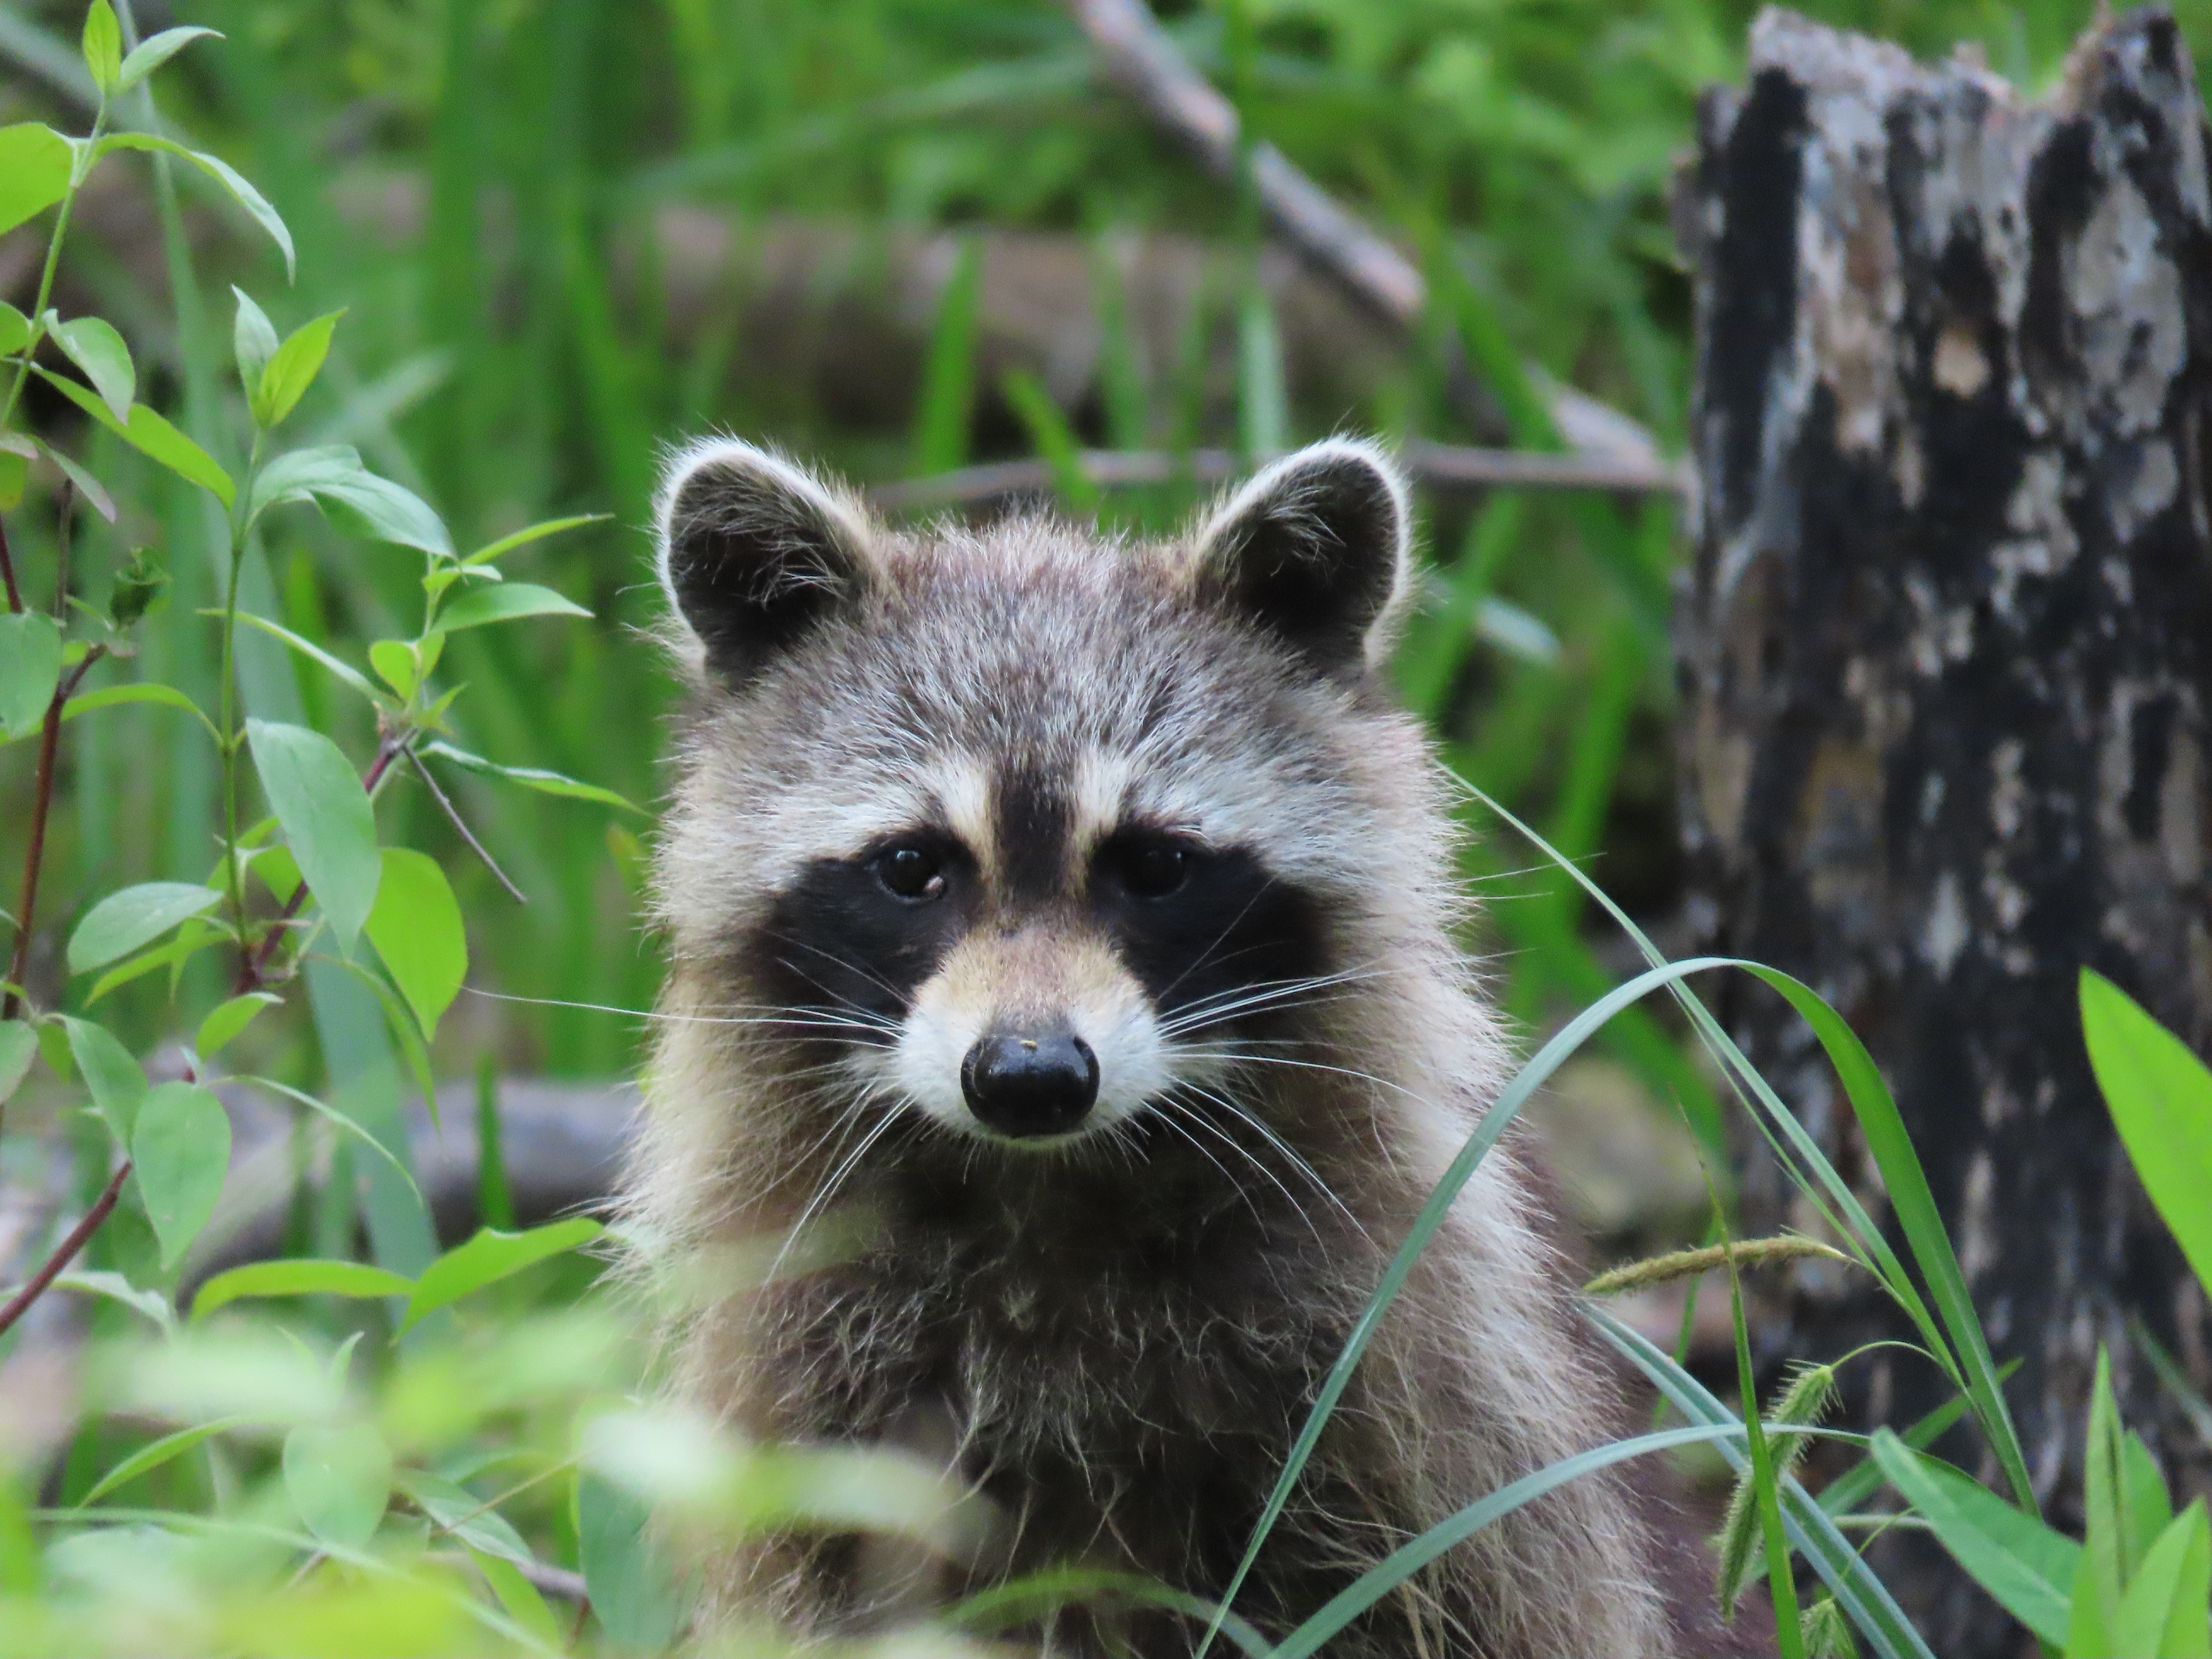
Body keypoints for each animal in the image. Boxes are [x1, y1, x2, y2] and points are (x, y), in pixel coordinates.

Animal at [628, 437, 1749, 1657]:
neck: (1047, 1191)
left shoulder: (1423, 1358)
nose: (1030, 1078)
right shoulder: (806, 1372)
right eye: (913, 867)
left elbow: (1493, 1586)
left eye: (1156, 865)